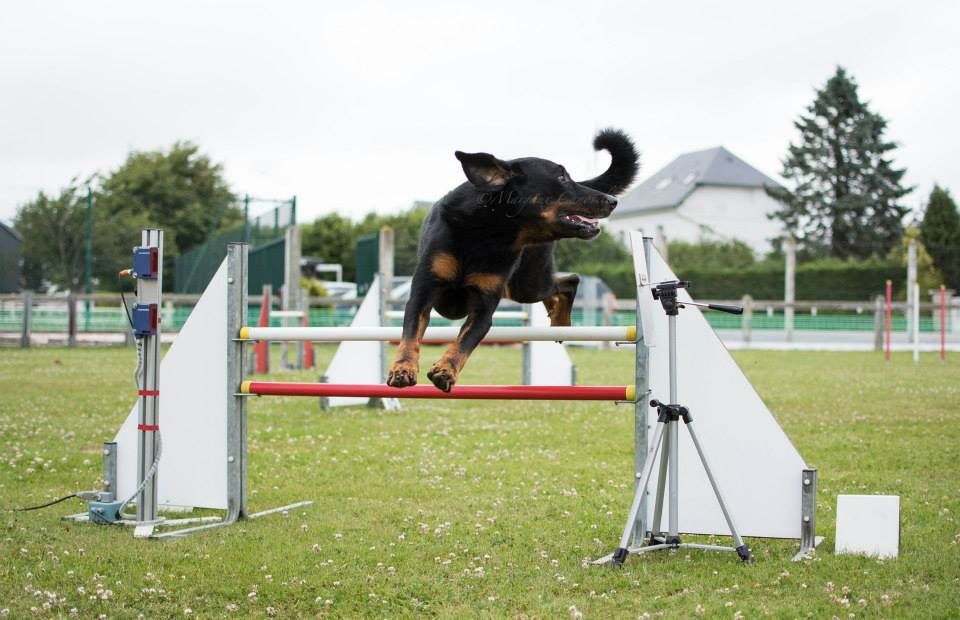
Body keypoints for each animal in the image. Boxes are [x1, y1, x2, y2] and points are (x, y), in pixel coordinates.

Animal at [386, 128, 639, 392]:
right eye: (562, 177)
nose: (613, 201)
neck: (487, 231)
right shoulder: (423, 292)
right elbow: (410, 333)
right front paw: (403, 369)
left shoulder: (484, 307)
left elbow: (465, 342)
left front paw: (445, 371)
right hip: (523, 287)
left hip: (526, 283)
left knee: (569, 280)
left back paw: (560, 322)